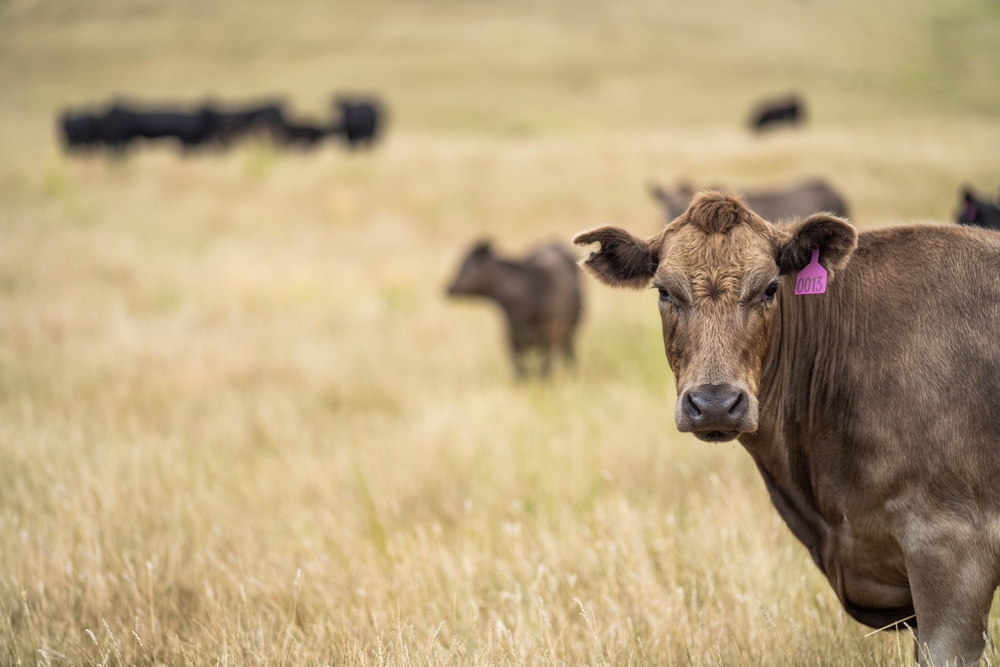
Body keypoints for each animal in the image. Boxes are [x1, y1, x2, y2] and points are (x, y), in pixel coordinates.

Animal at [447, 241, 582, 378]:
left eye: (468, 264)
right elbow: (520, 373)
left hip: (570, 330)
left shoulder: (551, 335)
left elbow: (544, 370)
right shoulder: (512, 341)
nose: (449, 288)